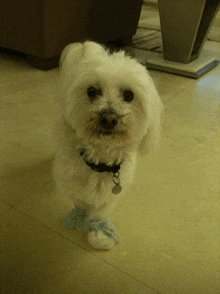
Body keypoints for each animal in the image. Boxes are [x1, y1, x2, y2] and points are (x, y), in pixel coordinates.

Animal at [52, 40, 162, 248]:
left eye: (129, 95)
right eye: (92, 91)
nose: (109, 118)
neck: (100, 160)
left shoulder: (109, 195)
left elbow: (99, 213)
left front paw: (98, 233)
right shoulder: (72, 183)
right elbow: (79, 201)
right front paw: (79, 217)